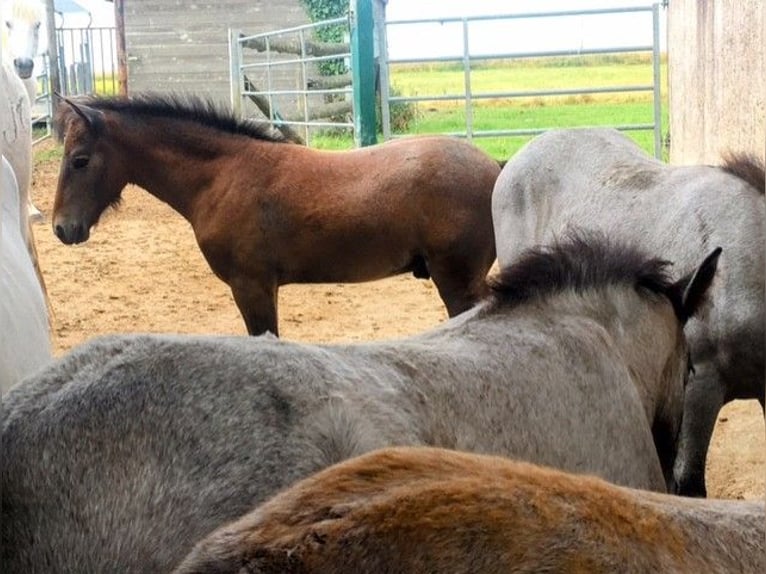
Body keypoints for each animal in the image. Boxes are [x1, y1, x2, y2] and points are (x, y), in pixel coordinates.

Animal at [51, 94, 500, 338]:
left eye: (79, 160)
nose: (61, 228)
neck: (223, 176)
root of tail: (496, 167)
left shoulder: (251, 286)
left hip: (458, 283)